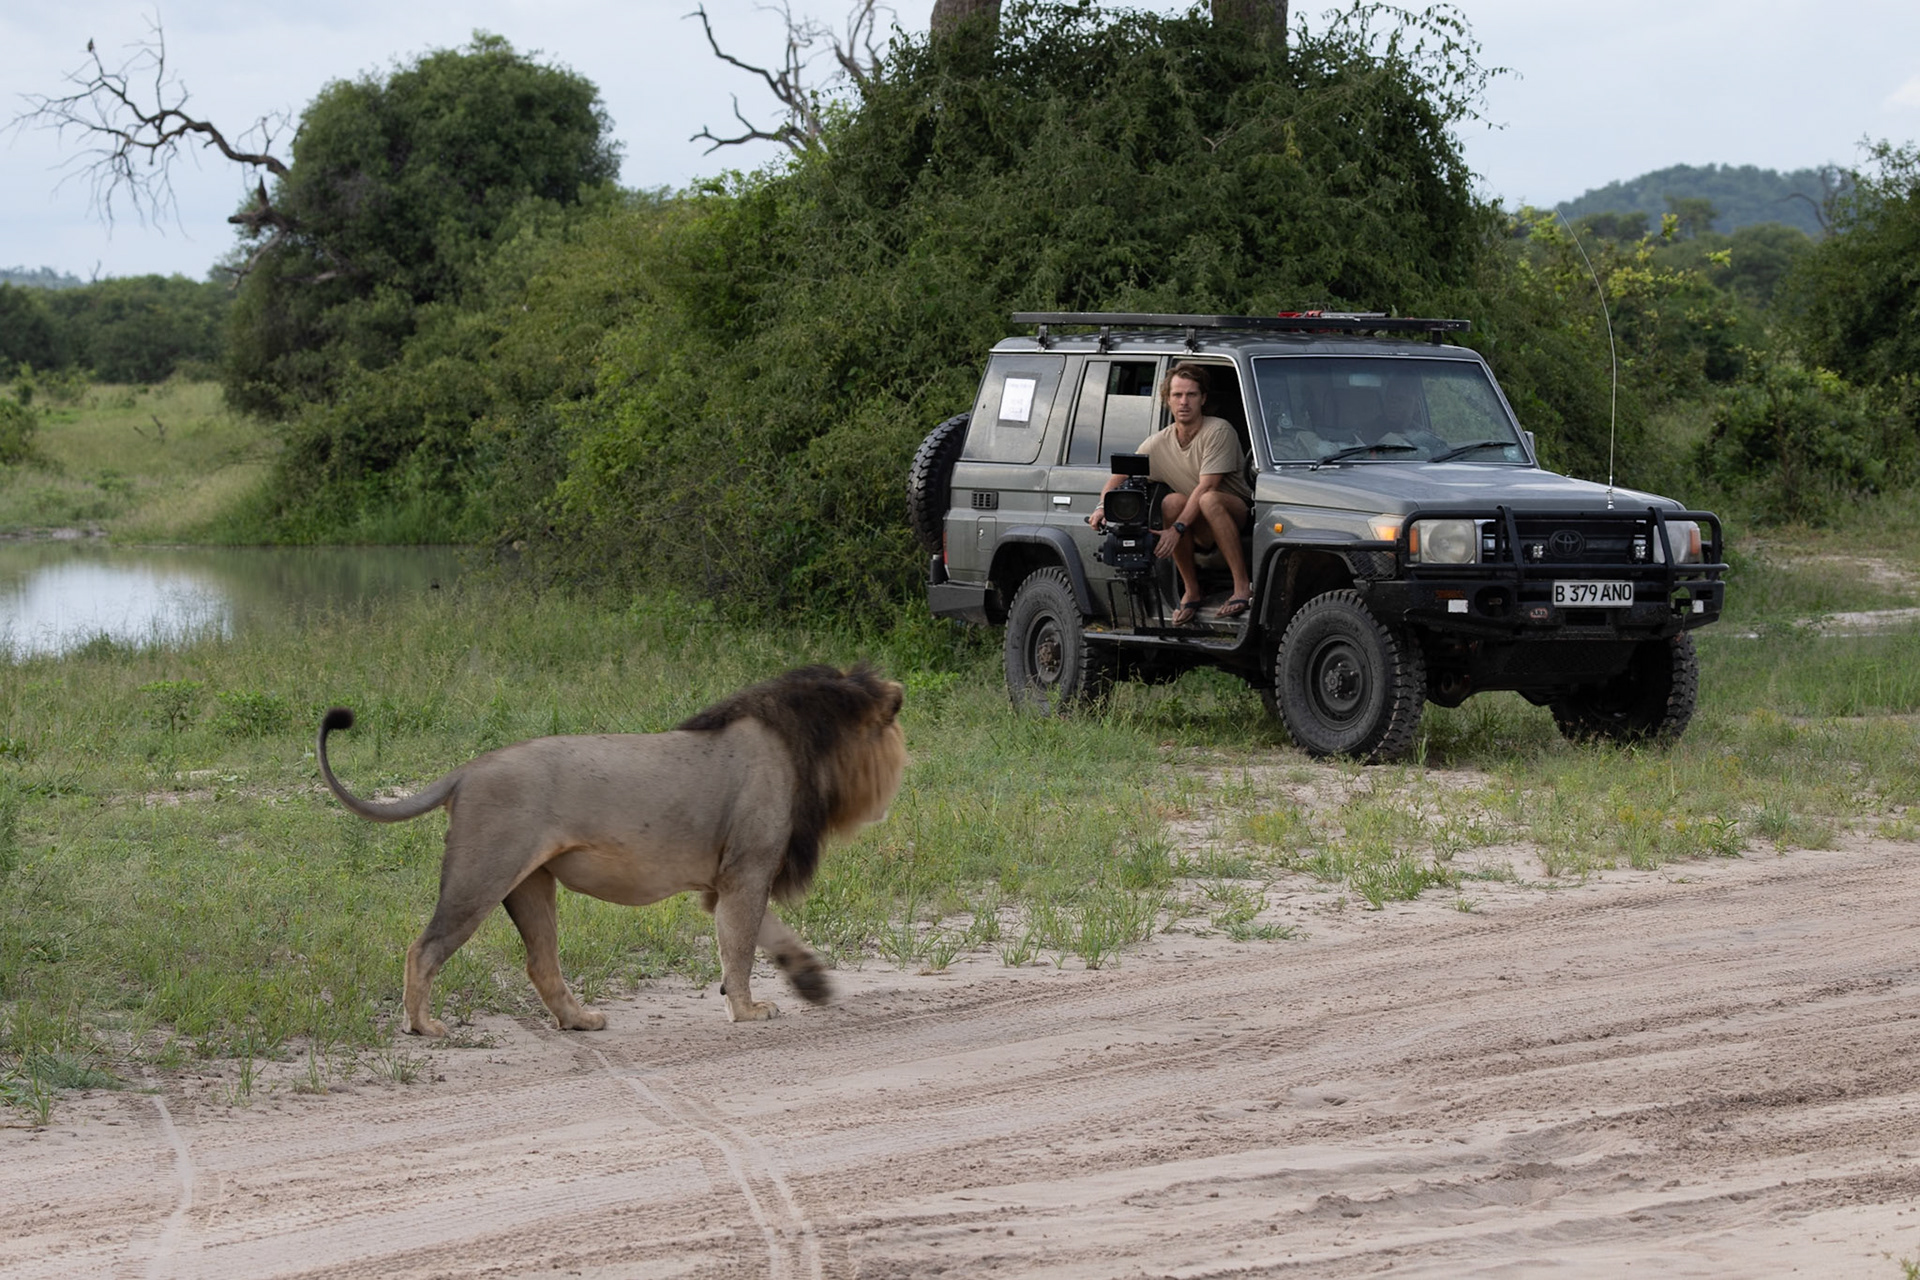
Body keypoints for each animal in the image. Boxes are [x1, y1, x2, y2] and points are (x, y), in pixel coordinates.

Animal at [316, 664, 906, 1036]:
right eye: (890, 730)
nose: (897, 784)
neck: (799, 746)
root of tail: (467, 770)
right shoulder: (748, 869)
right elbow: (738, 948)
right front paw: (748, 1011)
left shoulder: (729, 880)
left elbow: (765, 935)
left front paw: (812, 983)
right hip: (480, 876)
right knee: (425, 948)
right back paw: (422, 1026)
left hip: (530, 884)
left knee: (541, 962)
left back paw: (580, 1021)